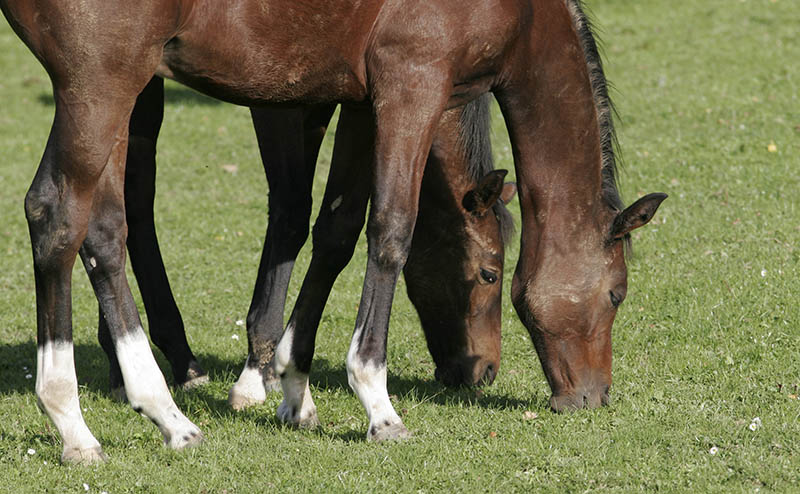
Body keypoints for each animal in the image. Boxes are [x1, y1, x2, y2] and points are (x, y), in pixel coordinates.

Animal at [106, 86, 512, 410]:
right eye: (489, 275)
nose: (487, 370)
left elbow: (331, 222)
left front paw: (270, 360)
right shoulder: (276, 100)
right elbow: (291, 206)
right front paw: (259, 367)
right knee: (132, 191)